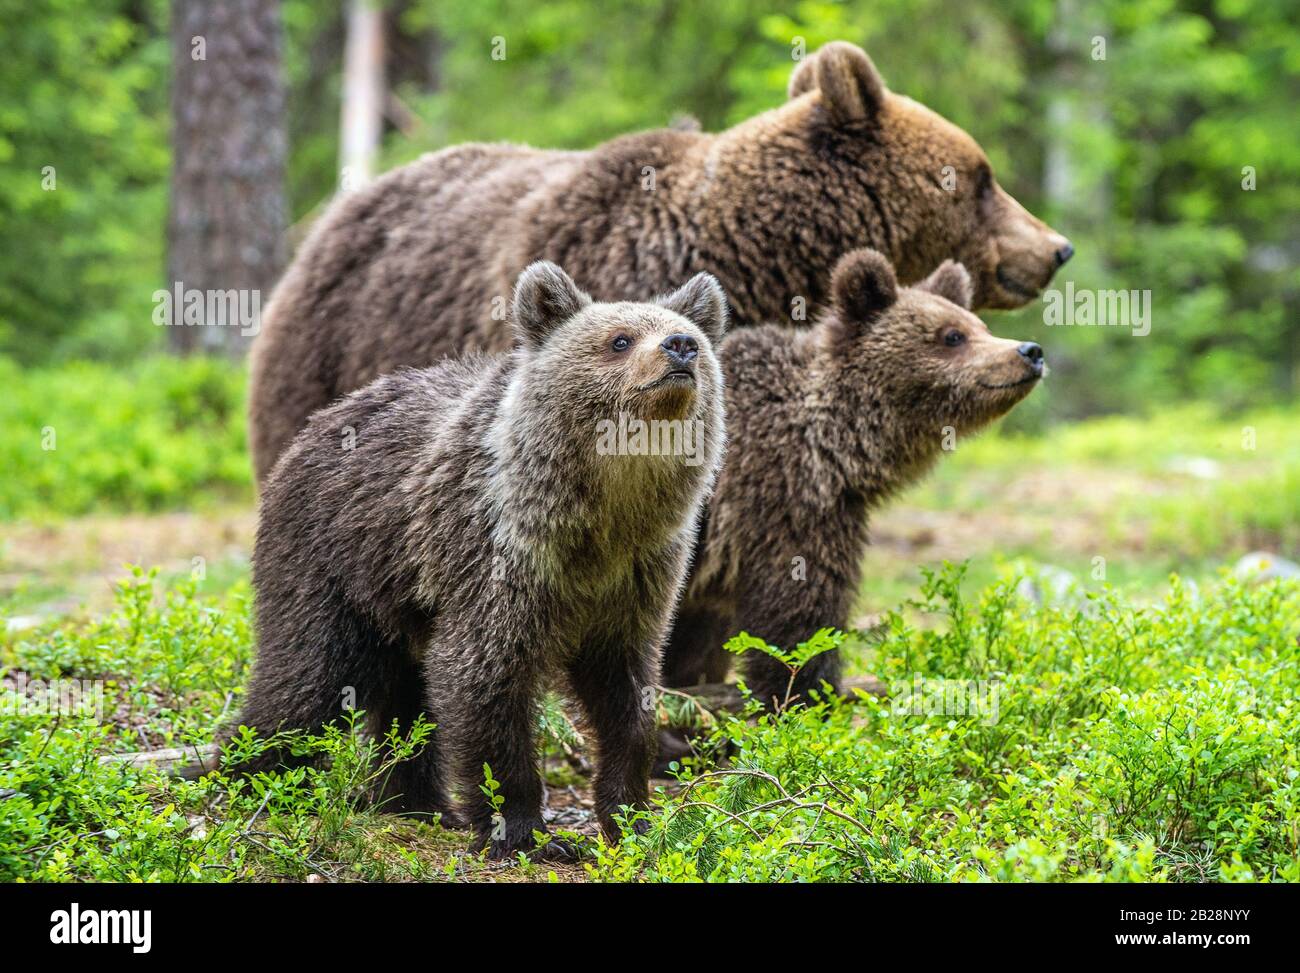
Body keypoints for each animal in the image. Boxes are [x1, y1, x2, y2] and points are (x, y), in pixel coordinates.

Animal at [229, 261, 727, 859]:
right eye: (620, 340)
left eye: (691, 337)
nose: (680, 348)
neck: (600, 515)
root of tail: (315, 425)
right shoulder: (497, 554)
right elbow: (484, 679)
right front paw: (526, 830)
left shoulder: (639, 574)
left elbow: (627, 695)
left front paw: (634, 818)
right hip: (333, 561)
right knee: (307, 681)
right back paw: (249, 778)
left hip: (402, 600)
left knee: (405, 699)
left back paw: (416, 804)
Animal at [659, 248, 1045, 712]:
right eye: (952, 336)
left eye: (980, 326)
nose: (1030, 351)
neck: (833, 443)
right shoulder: (779, 495)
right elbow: (799, 611)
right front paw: (805, 692)